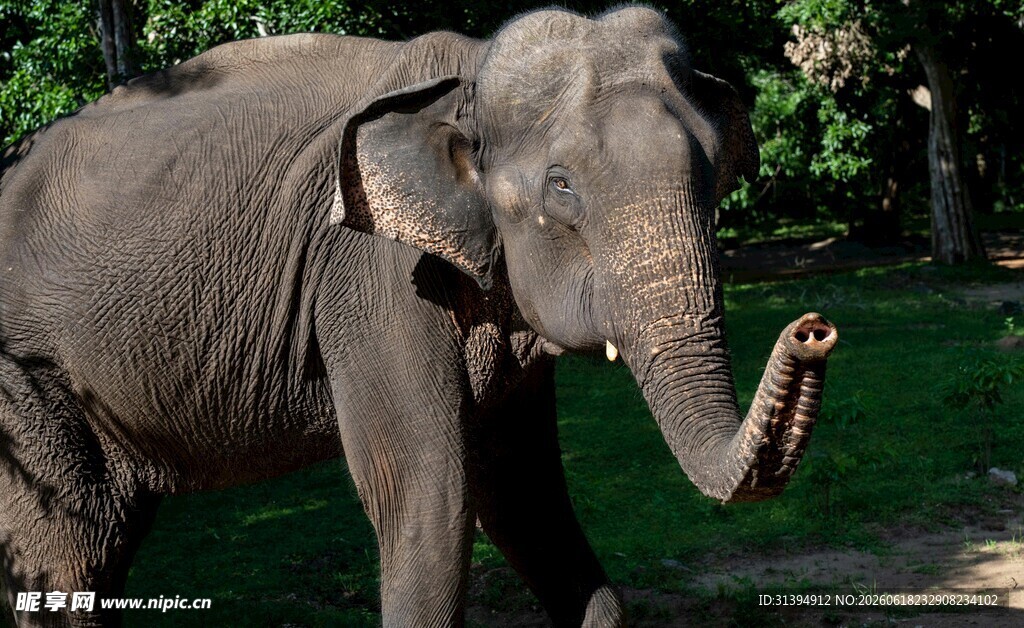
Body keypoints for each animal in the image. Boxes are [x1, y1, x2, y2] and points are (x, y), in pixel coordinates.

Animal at [0, 6, 838, 627]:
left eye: (714, 171)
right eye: (562, 185)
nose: (812, 328)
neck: (469, 70)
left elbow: (523, 493)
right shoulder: (369, 277)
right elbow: (429, 493)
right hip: (23, 384)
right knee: (71, 547)